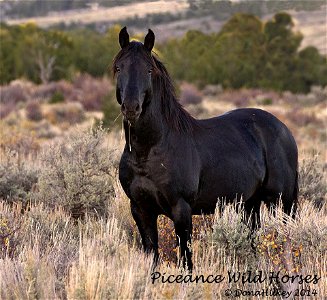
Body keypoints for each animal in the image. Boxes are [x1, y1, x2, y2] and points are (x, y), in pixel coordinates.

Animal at [114, 27, 298, 272]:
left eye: (149, 69)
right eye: (118, 68)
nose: (131, 107)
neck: (150, 151)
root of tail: (284, 129)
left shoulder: (181, 209)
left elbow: (186, 257)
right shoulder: (141, 209)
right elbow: (152, 254)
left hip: (282, 202)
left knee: (287, 239)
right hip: (249, 204)